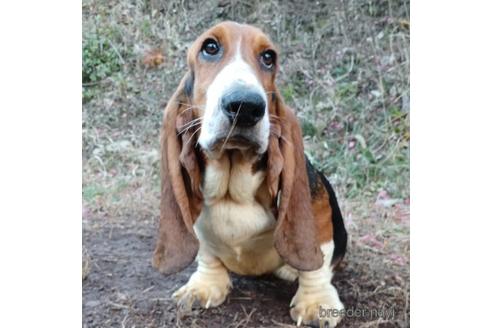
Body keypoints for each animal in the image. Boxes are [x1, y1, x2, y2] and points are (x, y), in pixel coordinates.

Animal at [152, 21, 348, 326]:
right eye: (210, 47)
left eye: (269, 57)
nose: (245, 105)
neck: (233, 183)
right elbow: (206, 253)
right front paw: (204, 286)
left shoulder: (318, 211)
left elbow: (318, 260)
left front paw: (317, 303)